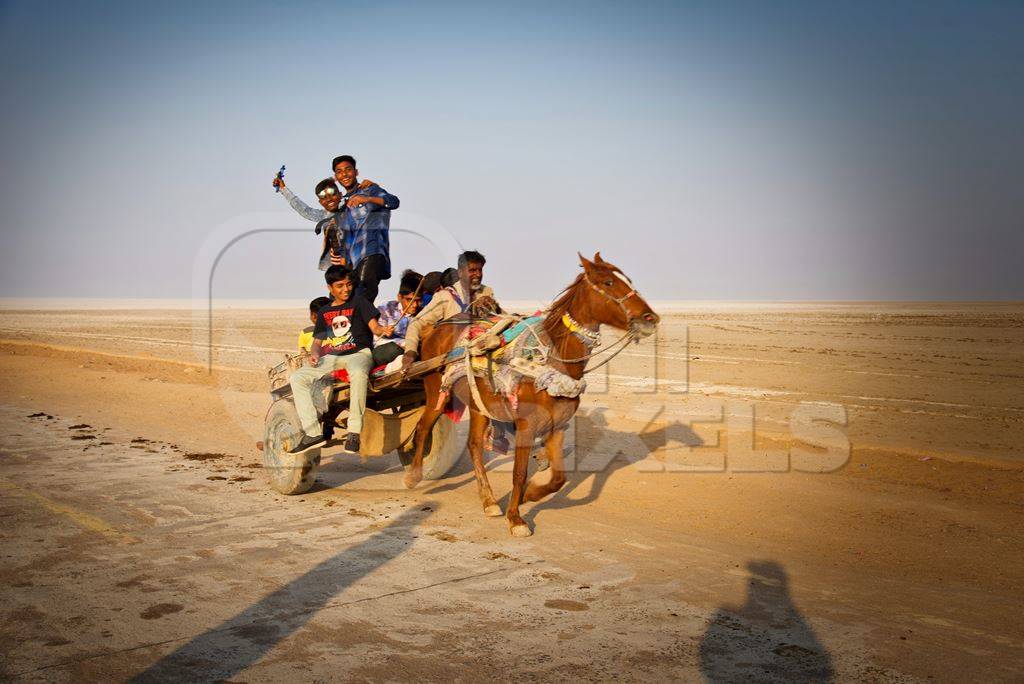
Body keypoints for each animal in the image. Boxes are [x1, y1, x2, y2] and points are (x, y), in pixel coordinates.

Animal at [403, 253, 659, 536]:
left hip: (478, 404)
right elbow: (519, 473)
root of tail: (433, 329)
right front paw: (516, 519)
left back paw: (489, 501)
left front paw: (529, 496)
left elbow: (559, 478)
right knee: (424, 428)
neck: (551, 360)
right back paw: (414, 475)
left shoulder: (556, 426)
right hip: (438, 393)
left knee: (474, 445)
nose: (650, 318)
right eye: (609, 282)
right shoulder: (526, 425)